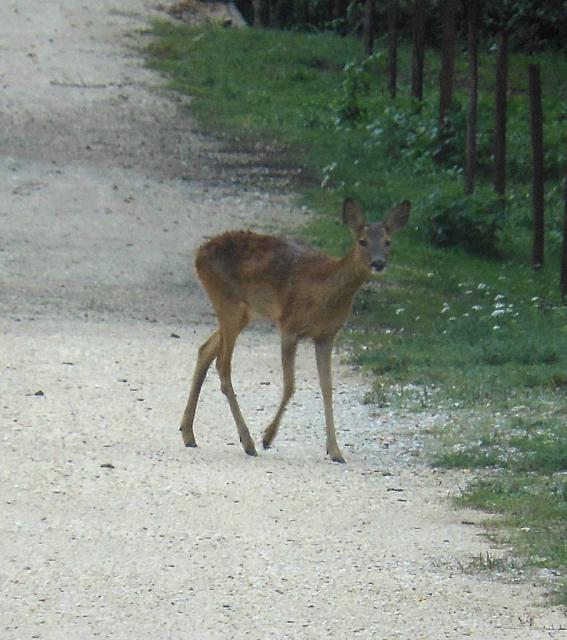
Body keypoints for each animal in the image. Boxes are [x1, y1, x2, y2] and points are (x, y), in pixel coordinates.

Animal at [180, 198, 410, 462]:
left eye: (388, 241)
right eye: (362, 241)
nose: (379, 263)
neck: (326, 291)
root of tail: (199, 253)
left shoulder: (327, 335)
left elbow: (327, 388)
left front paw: (335, 450)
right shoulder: (289, 325)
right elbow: (290, 385)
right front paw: (268, 437)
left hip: (244, 313)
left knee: (205, 349)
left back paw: (188, 433)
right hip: (228, 302)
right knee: (222, 365)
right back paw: (248, 442)